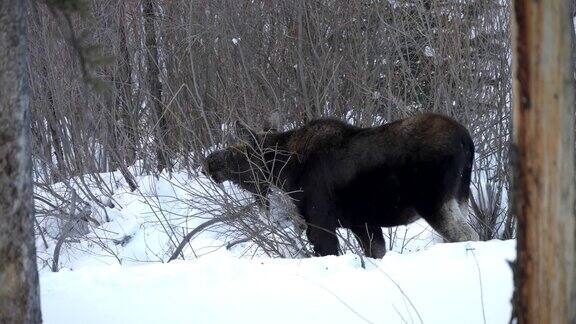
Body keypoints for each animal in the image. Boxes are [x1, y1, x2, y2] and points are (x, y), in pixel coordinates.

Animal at [202, 114, 476, 258]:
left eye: (240, 153)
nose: (209, 162)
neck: (284, 171)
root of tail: (466, 139)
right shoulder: (362, 223)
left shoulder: (320, 224)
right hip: (460, 198)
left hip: (434, 203)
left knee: (467, 236)